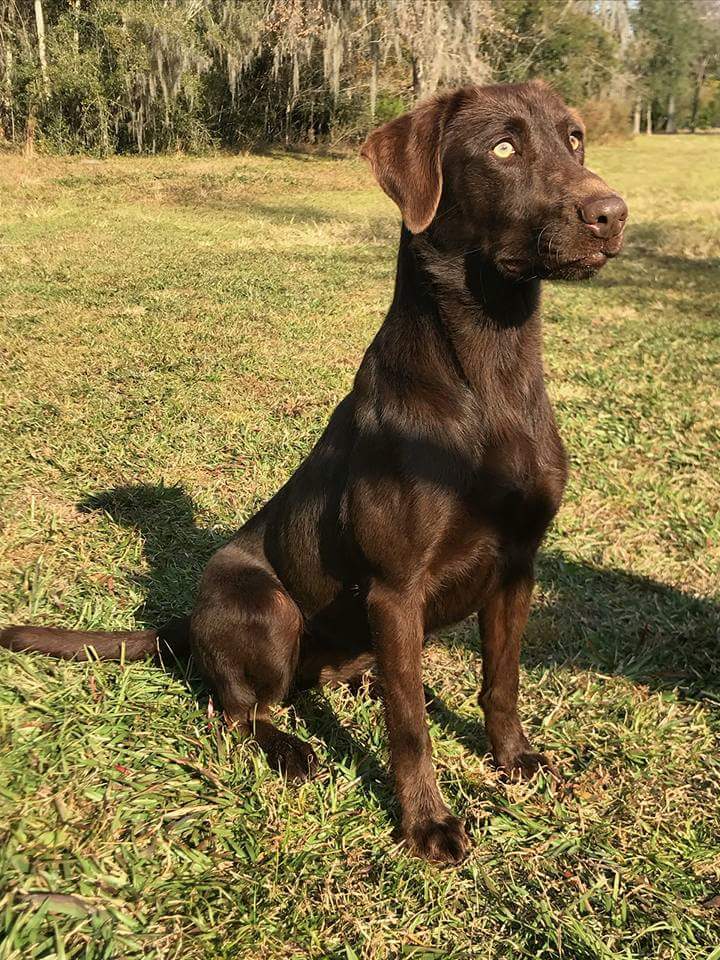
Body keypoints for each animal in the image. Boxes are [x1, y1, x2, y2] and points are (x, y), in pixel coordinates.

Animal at [1, 82, 624, 864]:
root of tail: (187, 621)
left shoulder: (517, 563)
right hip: (266, 606)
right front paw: (426, 823)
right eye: (503, 148)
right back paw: (294, 748)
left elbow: (501, 681)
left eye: (574, 139)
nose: (613, 214)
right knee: (235, 710)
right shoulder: (396, 587)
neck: (491, 374)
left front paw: (513, 758)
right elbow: (411, 729)